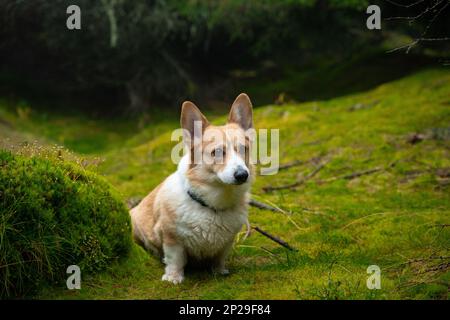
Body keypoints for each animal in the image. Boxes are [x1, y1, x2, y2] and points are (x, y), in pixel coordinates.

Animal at [130, 94, 253, 284]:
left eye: (243, 149)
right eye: (217, 152)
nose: (242, 175)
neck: (213, 204)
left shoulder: (227, 241)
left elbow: (219, 257)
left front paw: (219, 271)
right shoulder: (172, 238)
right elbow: (175, 259)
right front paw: (173, 278)